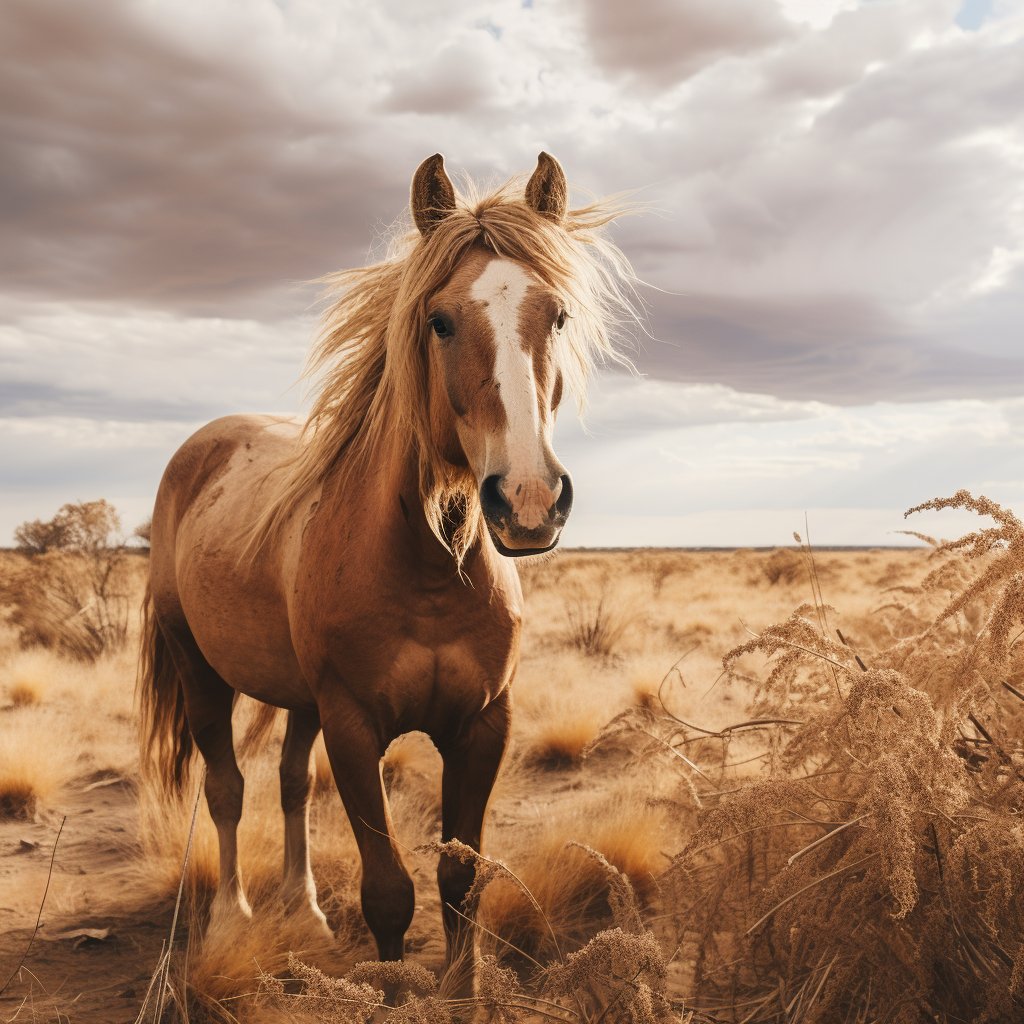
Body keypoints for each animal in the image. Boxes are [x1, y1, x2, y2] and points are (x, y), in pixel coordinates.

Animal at [138, 151, 636, 992]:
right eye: (440, 320)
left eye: (559, 317)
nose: (528, 499)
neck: (426, 572)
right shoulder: (352, 726)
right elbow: (389, 894)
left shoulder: (483, 725)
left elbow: (459, 881)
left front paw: (463, 992)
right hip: (203, 672)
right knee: (227, 788)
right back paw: (231, 917)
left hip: (298, 697)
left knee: (290, 784)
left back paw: (303, 911)